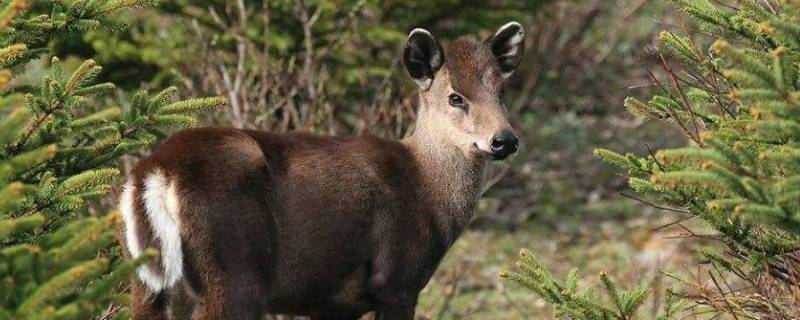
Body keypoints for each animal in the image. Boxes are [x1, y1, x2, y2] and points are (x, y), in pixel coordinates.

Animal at [119, 21, 524, 318]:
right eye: (455, 97)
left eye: (501, 93)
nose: (505, 140)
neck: (426, 190)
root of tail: (157, 170)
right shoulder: (397, 280)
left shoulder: (334, 304)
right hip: (233, 272)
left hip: (147, 282)